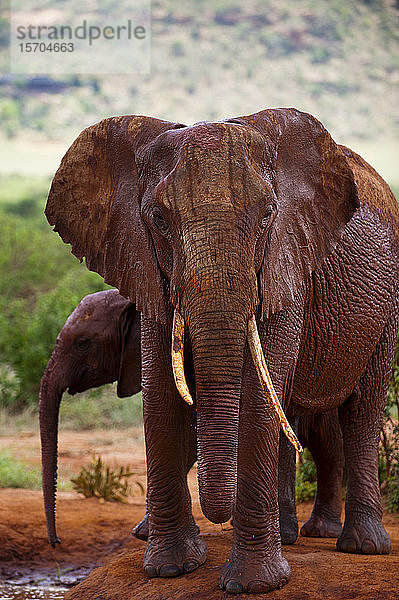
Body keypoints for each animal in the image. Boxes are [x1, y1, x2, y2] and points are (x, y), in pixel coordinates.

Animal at [42, 109, 398, 596]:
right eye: (158, 219)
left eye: (267, 215)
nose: (56, 544)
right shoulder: (148, 267)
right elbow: (162, 395)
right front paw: (171, 569)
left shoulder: (285, 263)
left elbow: (256, 400)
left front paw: (254, 584)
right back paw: (296, 536)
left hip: (387, 310)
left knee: (361, 411)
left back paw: (359, 546)